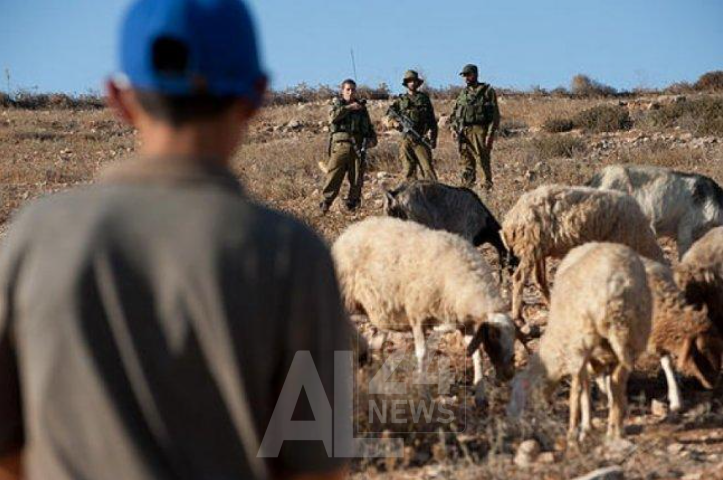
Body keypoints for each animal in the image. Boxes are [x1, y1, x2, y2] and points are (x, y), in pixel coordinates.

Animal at [331, 216, 517, 398]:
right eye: (494, 338)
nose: (509, 376)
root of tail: (352, 228)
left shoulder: (465, 323)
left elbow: (476, 353)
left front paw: (480, 392)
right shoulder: (417, 315)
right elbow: (422, 354)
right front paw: (423, 392)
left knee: (375, 344)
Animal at [501, 184, 665, 322]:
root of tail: (510, 220)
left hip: (539, 249)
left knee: (540, 279)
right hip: (530, 246)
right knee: (519, 277)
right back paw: (518, 316)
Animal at [507, 242, 652, 441]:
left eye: (517, 396)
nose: (512, 425)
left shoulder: (576, 352)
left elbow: (578, 390)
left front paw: (579, 429)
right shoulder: (591, 357)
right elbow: (589, 385)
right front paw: (591, 423)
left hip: (587, 338)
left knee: (590, 387)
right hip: (636, 334)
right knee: (617, 381)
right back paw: (615, 430)